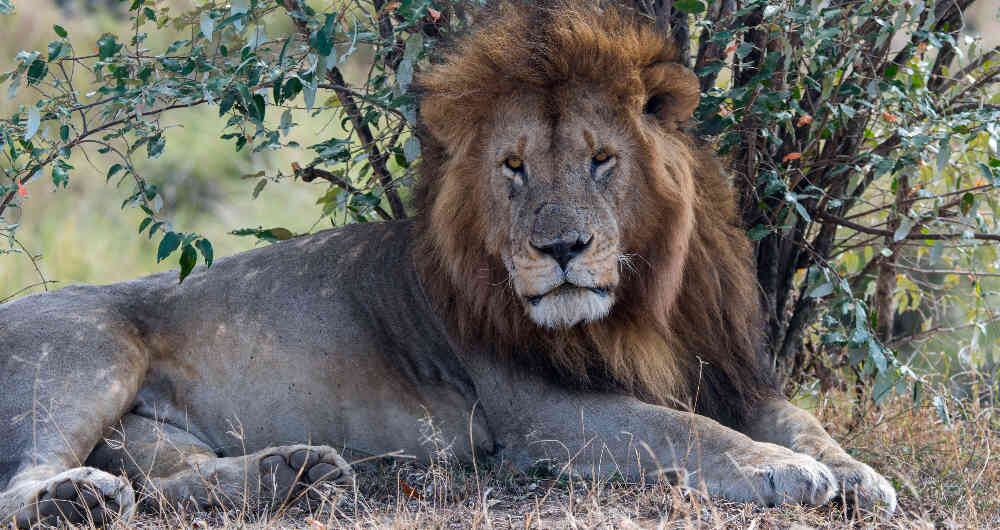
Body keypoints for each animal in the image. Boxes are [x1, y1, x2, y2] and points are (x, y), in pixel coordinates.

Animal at [0, 2, 895, 526]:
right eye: (514, 167)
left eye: (602, 160)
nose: (560, 249)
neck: (642, 300)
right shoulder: (542, 413)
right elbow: (689, 431)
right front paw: (787, 474)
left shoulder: (729, 367)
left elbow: (803, 420)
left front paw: (858, 475)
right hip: (87, 355)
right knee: (21, 483)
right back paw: (74, 500)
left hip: (148, 433)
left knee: (164, 482)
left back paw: (298, 474)